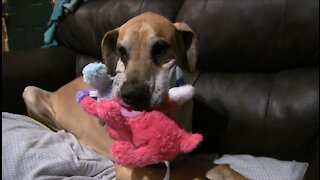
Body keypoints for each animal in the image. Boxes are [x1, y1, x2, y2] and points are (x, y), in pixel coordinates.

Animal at [23, 11, 245, 179]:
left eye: (160, 48)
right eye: (121, 51)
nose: (131, 96)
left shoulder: (181, 159)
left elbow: (220, 167)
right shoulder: (132, 168)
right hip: (30, 91)